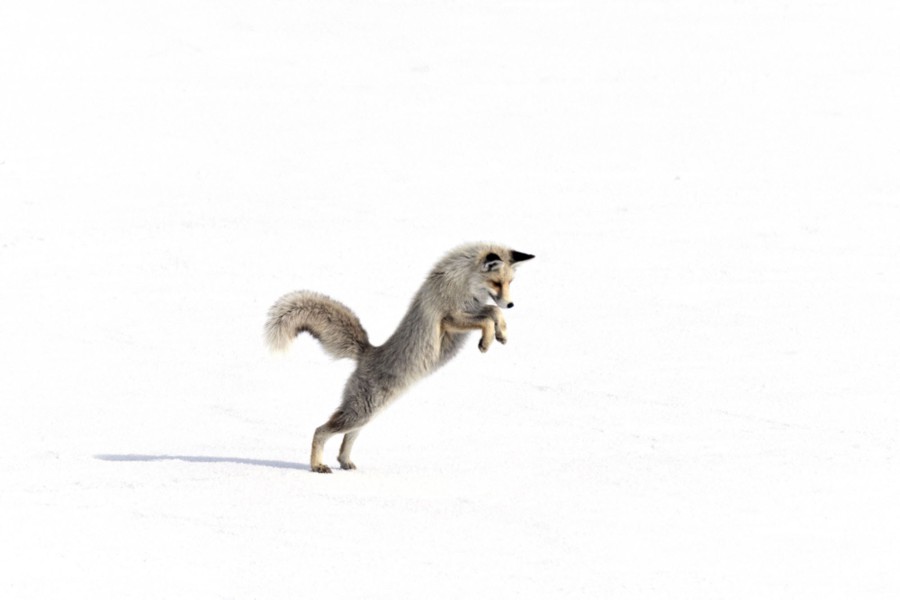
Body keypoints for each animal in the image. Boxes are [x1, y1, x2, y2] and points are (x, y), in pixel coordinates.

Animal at [264, 242, 535, 473]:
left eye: (510, 282)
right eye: (496, 282)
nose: (512, 304)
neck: (461, 282)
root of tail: (368, 351)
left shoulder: (468, 311)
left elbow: (494, 312)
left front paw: (501, 334)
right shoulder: (449, 318)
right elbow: (490, 313)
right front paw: (486, 341)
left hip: (365, 416)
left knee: (345, 441)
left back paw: (345, 462)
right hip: (359, 413)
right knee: (320, 431)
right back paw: (317, 466)